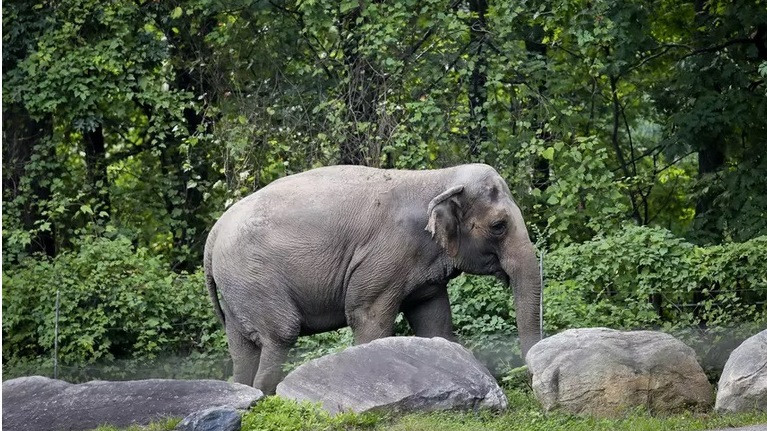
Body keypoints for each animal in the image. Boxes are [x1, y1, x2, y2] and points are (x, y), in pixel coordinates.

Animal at [204, 163, 540, 394]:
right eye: (498, 226)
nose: (528, 378)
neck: (437, 178)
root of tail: (214, 233)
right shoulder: (385, 256)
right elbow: (368, 317)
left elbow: (435, 321)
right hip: (253, 276)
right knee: (280, 334)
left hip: (237, 286)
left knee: (242, 347)